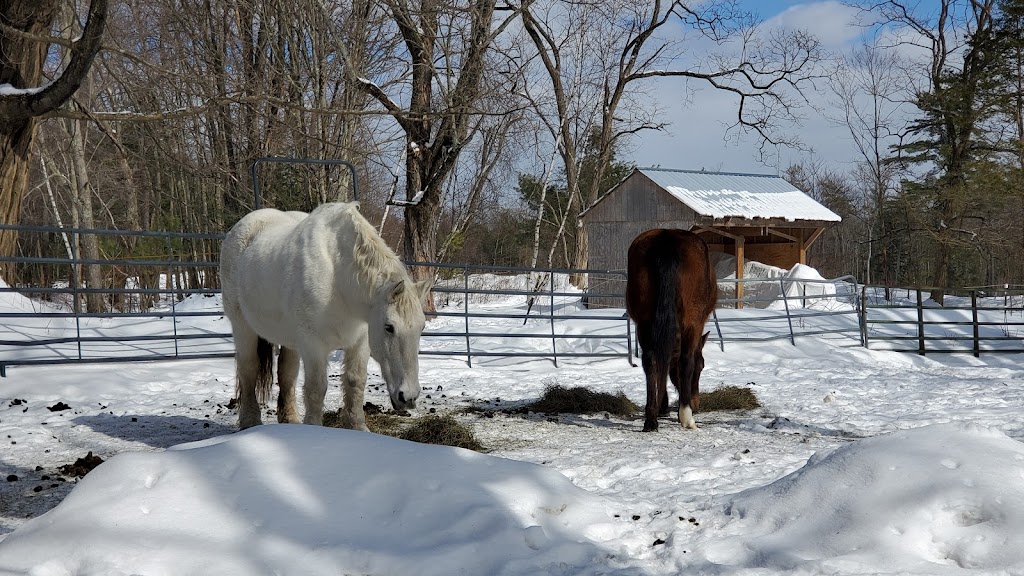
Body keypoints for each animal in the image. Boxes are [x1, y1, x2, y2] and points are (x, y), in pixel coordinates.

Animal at [220, 199, 432, 428]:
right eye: (389, 327)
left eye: (421, 328)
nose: (409, 397)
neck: (338, 276)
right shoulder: (313, 344)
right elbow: (316, 388)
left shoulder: (361, 341)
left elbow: (355, 381)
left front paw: (357, 426)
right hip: (242, 327)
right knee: (249, 369)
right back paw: (250, 421)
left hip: (290, 340)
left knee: (286, 374)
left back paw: (290, 420)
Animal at [626, 228, 716, 430]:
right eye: (702, 366)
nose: (696, 404)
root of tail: (666, 240)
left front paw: (661, 405)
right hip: (691, 322)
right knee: (685, 360)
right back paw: (686, 416)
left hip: (644, 323)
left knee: (651, 360)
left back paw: (651, 419)